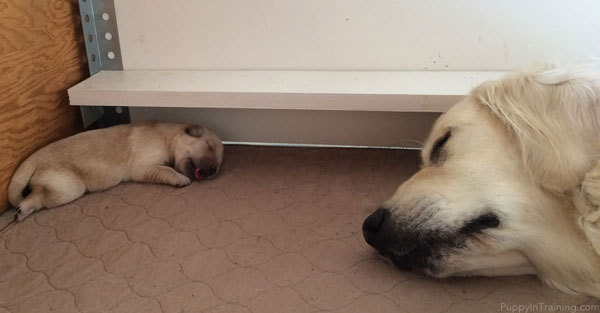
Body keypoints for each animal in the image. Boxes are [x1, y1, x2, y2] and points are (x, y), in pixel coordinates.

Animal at [7, 120, 223, 221]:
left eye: (219, 164)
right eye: (209, 146)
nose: (213, 170)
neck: (167, 136)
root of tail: (34, 158)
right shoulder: (144, 166)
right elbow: (167, 170)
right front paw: (179, 178)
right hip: (68, 187)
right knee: (35, 196)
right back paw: (22, 211)